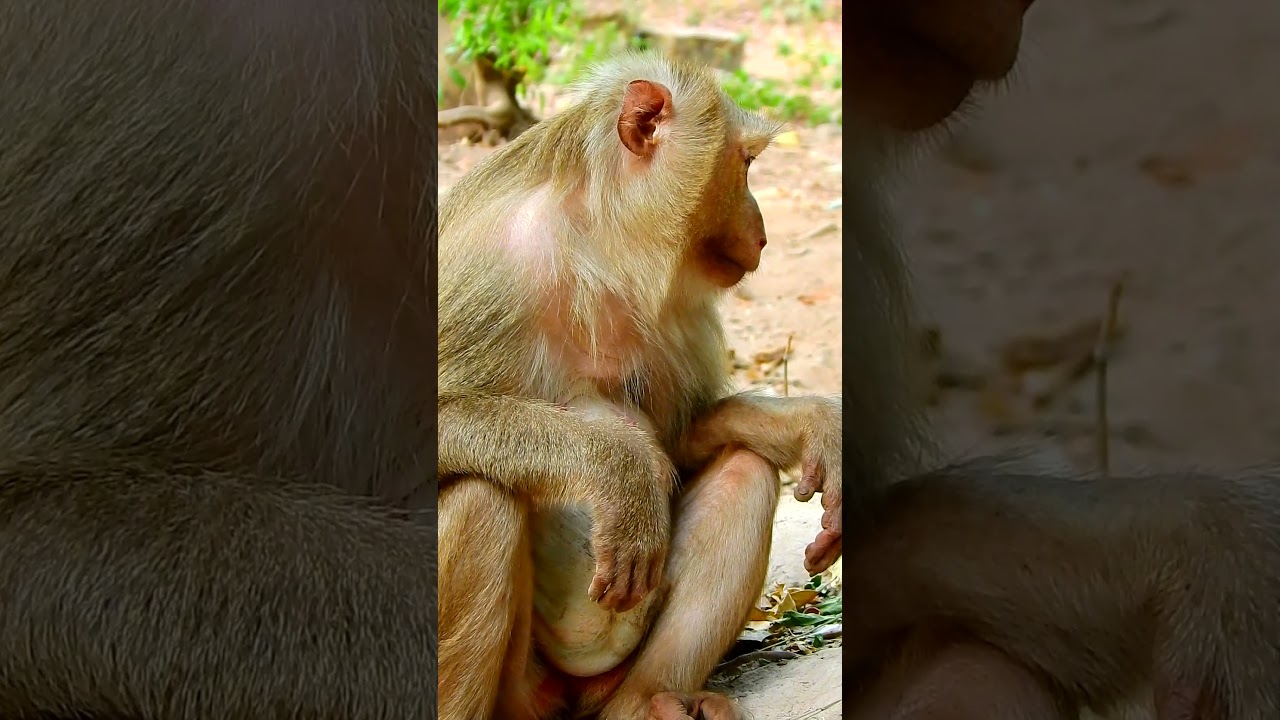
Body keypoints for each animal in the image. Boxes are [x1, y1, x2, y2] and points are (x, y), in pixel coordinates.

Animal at [436, 53, 843, 719]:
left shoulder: (680, 306)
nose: (762, 231)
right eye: (745, 164)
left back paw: (649, 699)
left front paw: (806, 422)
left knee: (745, 471)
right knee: (481, 501)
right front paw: (618, 470)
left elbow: (681, 440)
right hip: (523, 694)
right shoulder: (482, 268)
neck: (597, 243)